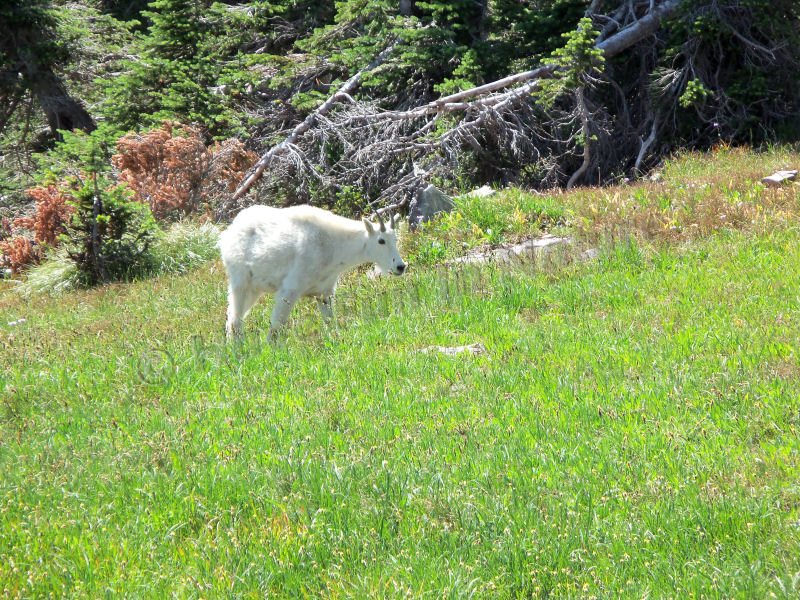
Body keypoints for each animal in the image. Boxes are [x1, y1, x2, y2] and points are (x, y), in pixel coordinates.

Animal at [219, 205, 406, 338]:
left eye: (395, 238)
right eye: (381, 240)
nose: (400, 266)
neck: (334, 246)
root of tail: (228, 233)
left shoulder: (324, 293)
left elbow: (329, 320)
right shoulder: (290, 289)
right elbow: (277, 325)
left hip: (255, 288)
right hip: (240, 281)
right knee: (234, 318)